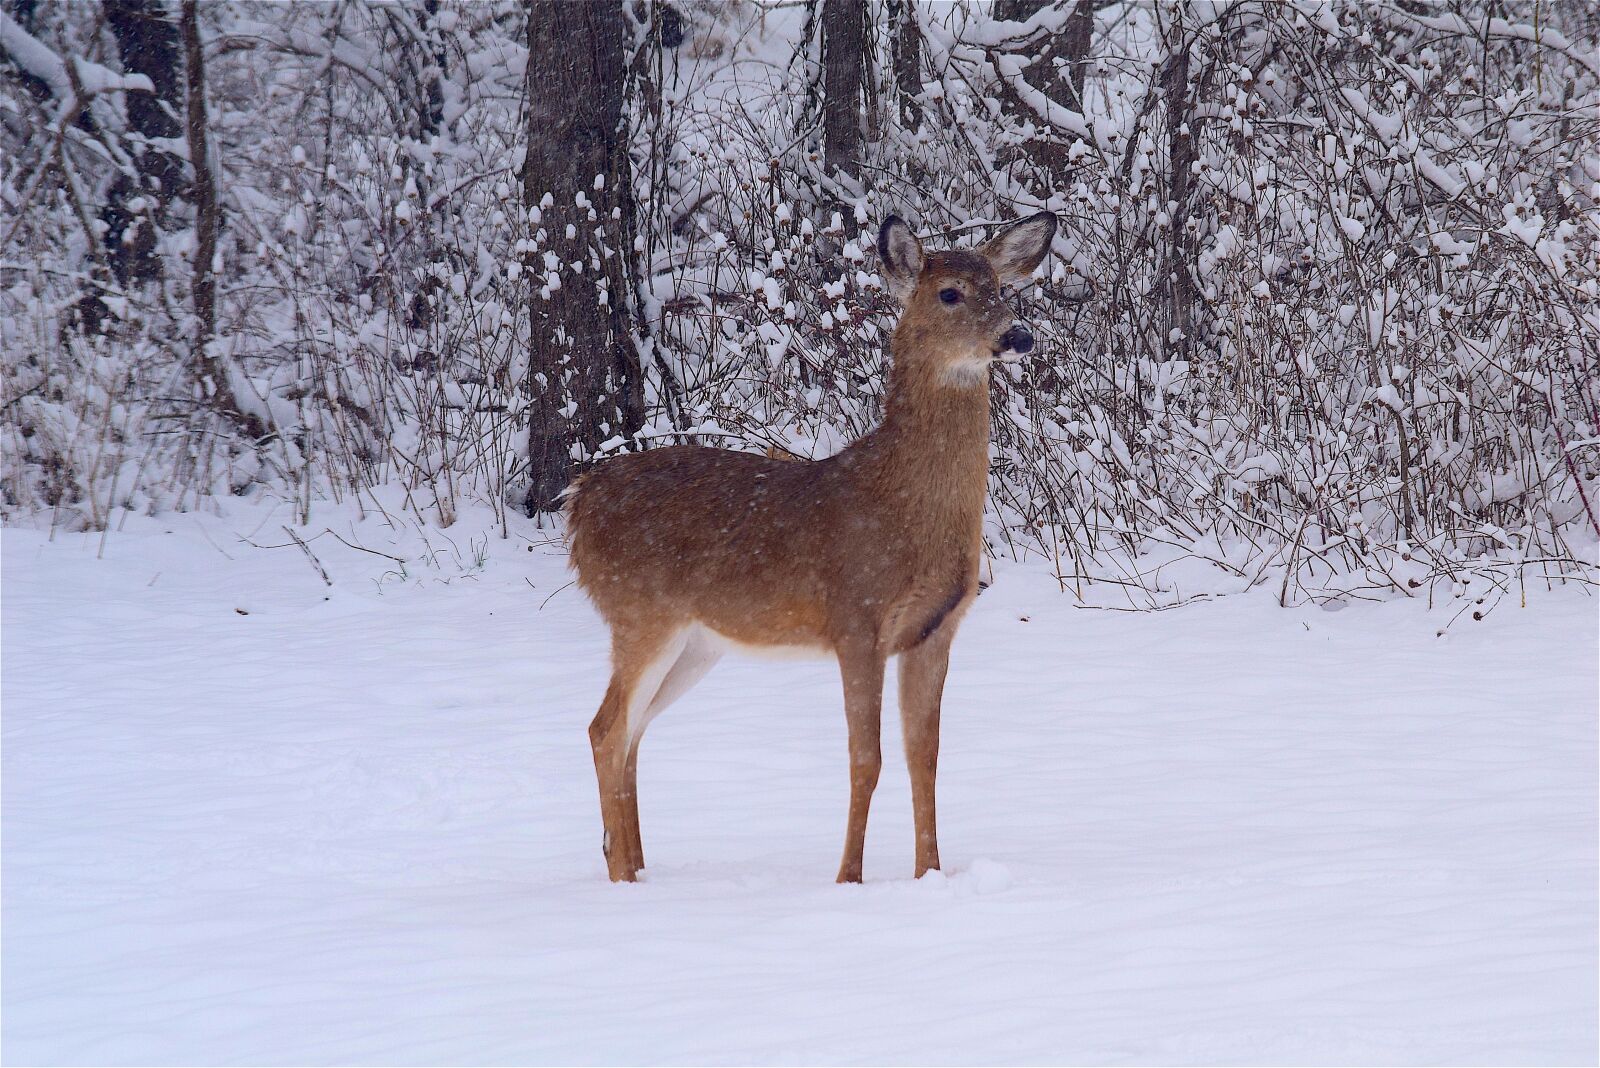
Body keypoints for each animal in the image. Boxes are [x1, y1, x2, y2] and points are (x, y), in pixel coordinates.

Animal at [566, 211, 1058, 883]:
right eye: (949, 293)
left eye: (1003, 288)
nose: (1018, 335)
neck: (903, 506)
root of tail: (578, 501)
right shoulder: (857, 619)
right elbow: (866, 759)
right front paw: (848, 878)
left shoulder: (936, 629)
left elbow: (925, 756)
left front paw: (930, 874)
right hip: (641, 612)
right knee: (605, 730)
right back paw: (621, 880)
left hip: (695, 642)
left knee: (633, 732)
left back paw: (637, 867)